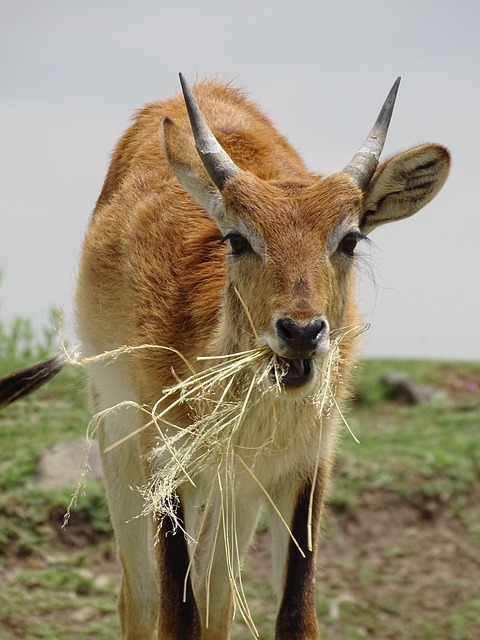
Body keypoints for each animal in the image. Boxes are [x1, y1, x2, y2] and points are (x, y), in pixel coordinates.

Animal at [0, 76, 450, 640]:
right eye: (236, 238)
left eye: (349, 238)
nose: (300, 331)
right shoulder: (165, 464)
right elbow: (177, 615)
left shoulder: (303, 471)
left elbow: (292, 615)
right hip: (120, 438)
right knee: (139, 598)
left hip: (235, 491)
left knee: (217, 598)